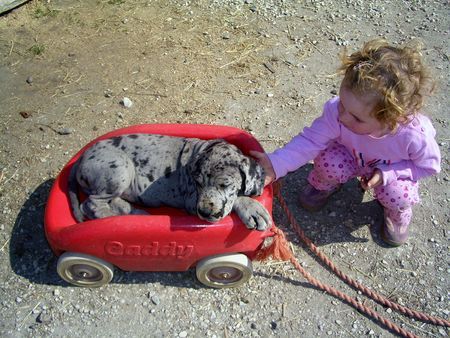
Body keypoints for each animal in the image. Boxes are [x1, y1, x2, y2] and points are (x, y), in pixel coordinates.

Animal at [67, 133, 270, 231]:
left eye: (225, 185)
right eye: (198, 183)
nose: (204, 213)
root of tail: (82, 156)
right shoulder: (191, 201)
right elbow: (237, 199)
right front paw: (251, 208)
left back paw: (135, 212)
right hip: (121, 168)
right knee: (90, 205)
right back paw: (114, 219)